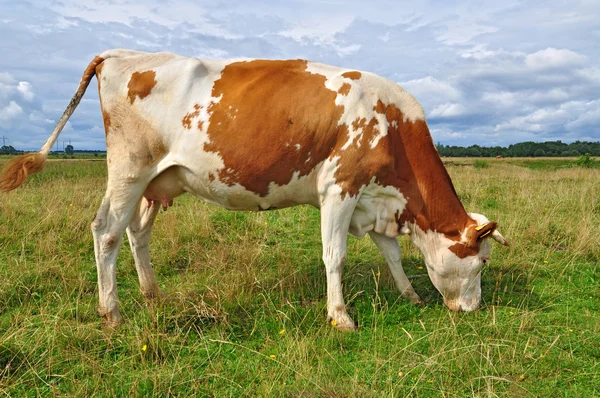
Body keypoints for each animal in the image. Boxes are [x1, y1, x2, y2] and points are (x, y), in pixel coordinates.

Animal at [0, 49, 508, 330]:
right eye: (481, 262)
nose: (475, 310)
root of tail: (121, 53)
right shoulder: (339, 187)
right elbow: (336, 255)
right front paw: (341, 316)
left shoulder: (374, 198)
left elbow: (393, 254)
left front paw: (410, 295)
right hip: (129, 169)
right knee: (106, 232)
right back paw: (113, 312)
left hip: (154, 180)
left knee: (136, 232)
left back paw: (152, 294)